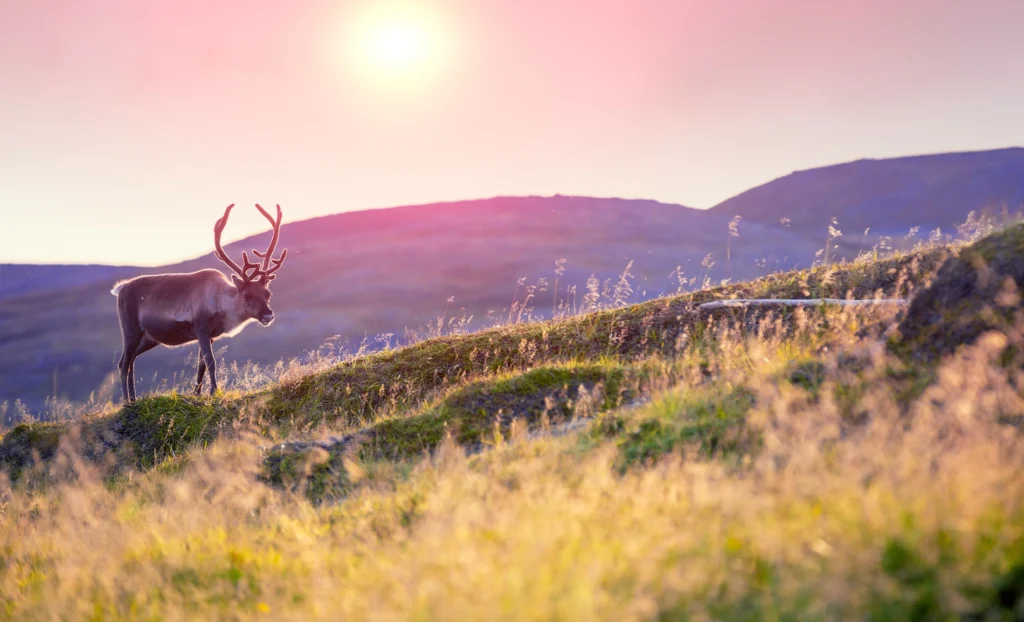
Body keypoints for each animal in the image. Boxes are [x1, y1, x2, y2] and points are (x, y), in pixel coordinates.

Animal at [111, 204, 288, 404]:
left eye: (268, 293)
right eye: (247, 296)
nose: (268, 315)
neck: (220, 301)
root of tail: (121, 288)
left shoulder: (210, 336)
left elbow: (201, 365)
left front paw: (197, 394)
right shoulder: (201, 330)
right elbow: (211, 362)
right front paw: (213, 391)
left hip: (149, 337)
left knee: (132, 361)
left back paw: (134, 398)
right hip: (131, 329)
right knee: (123, 363)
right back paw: (126, 401)